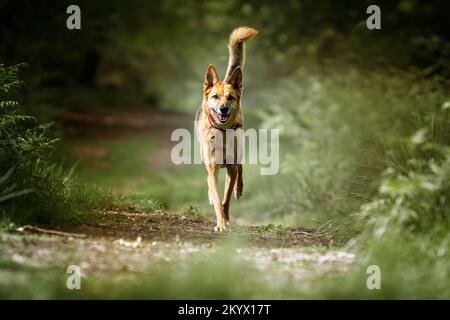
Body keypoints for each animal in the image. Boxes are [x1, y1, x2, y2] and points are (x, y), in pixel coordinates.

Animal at [195, 26, 258, 231]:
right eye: (215, 96)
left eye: (230, 97)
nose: (223, 109)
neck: (221, 132)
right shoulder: (213, 169)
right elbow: (216, 198)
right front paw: (221, 223)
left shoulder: (230, 169)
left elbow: (226, 198)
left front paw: (226, 218)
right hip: (203, 156)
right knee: (209, 181)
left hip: (241, 147)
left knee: (240, 168)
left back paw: (239, 189)